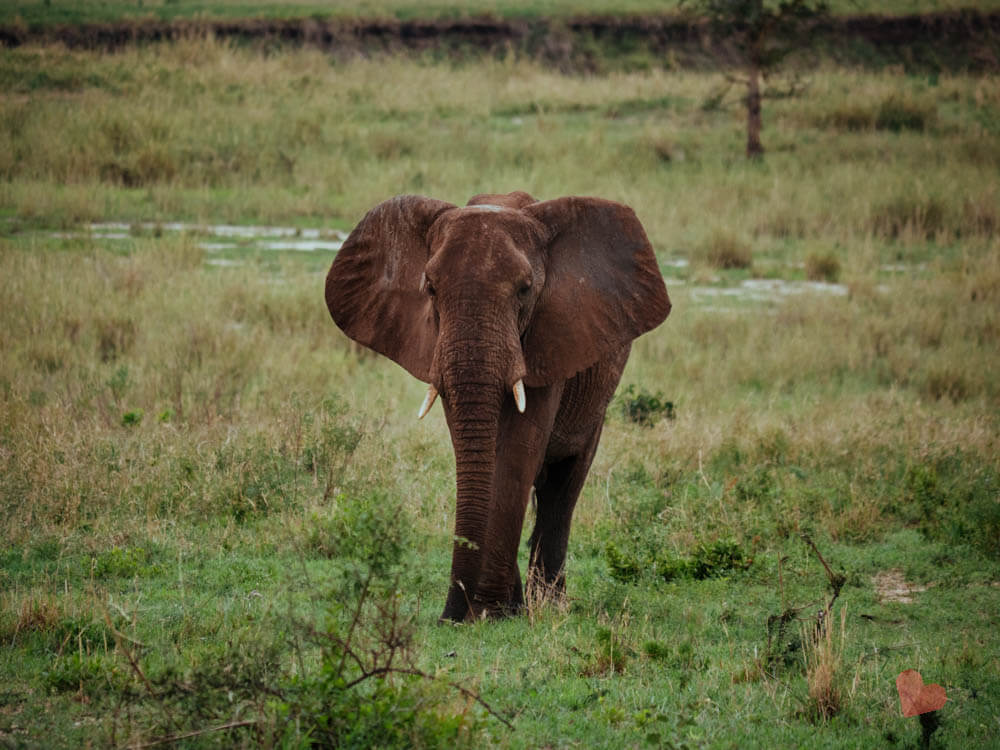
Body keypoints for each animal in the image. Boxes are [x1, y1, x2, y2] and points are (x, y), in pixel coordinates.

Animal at [328, 189, 672, 624]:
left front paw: (492, 612)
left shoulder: (549, 336)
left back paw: (550, 605)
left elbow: (516, 453)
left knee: (565, 483)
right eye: (430, 288)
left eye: (525, 289)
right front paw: (494, 609)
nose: (449, 616)